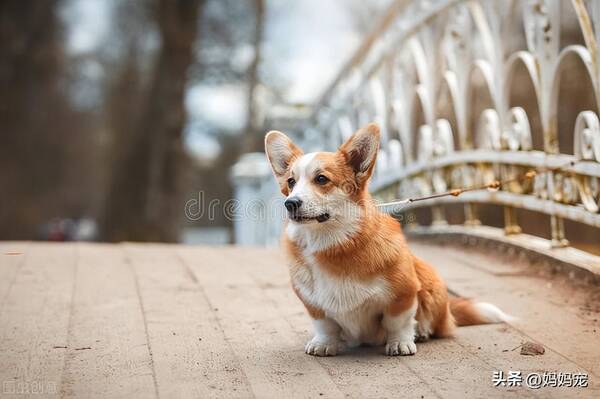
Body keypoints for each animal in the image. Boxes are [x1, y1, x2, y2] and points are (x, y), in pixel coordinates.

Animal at [264, 123, 510, 358]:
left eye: (322, 179)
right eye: (291, 182)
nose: (290, 203)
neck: (329, 243)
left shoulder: (404, 293)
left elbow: (397, 322)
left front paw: (400, 343)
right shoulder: (313, 303)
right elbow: (325, 325)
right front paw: (324, 344)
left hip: (431, 281)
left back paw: (421, 332)